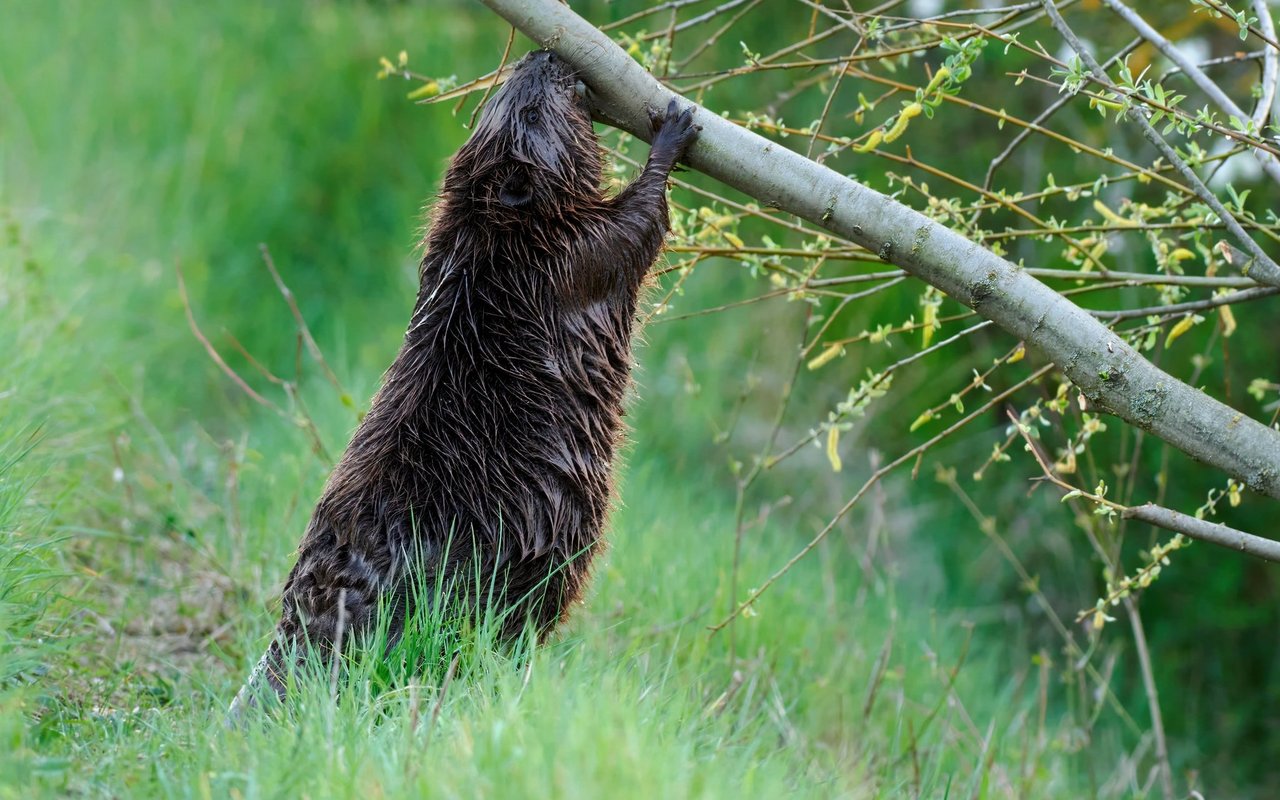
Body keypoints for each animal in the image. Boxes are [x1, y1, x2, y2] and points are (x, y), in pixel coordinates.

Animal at [225, 49, 696, 711]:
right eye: (531, 109)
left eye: (503, 93)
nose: (546, 56)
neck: (491, 230)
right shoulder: (568, 256)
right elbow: (639, 226)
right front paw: (673, 129)